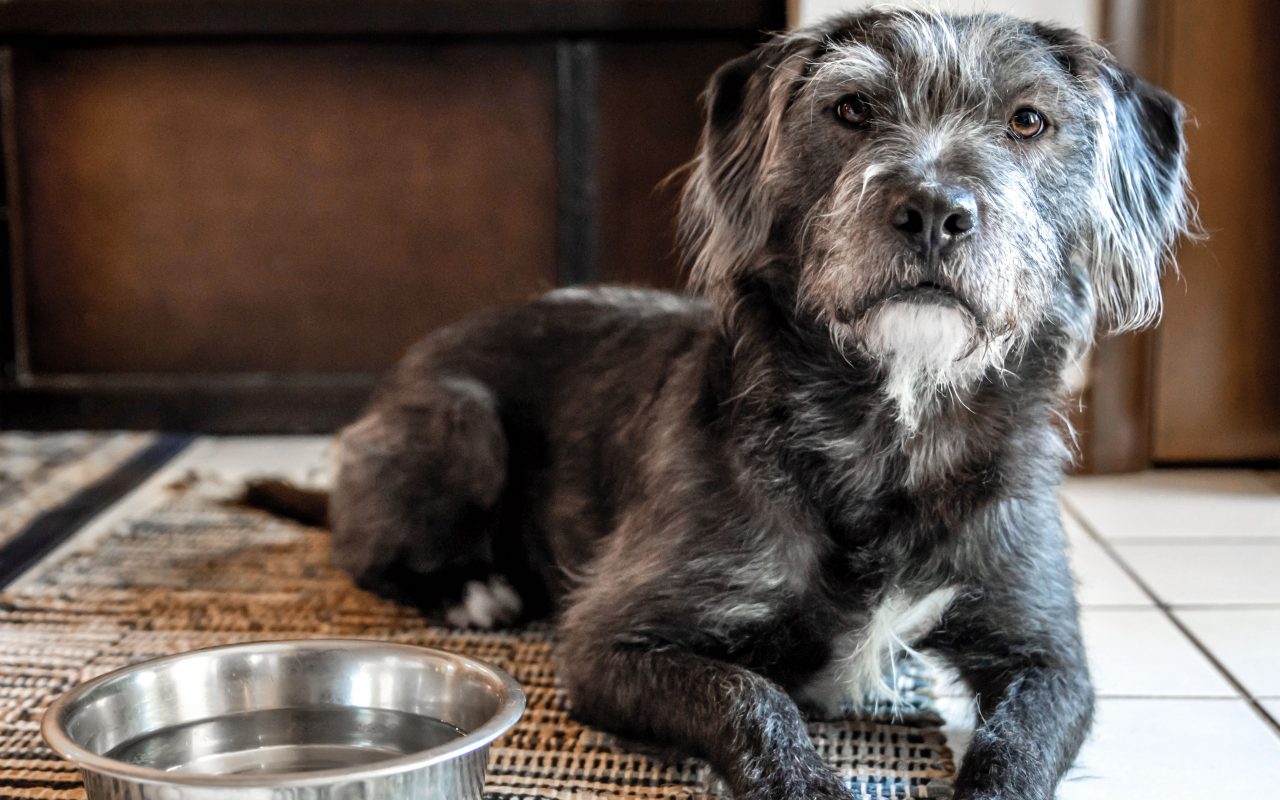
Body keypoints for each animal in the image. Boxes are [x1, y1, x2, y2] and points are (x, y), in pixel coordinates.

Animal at [241, 7, 1187, 798]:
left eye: (1029, 122)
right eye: (852, 109)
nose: (930, 209)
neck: (892, 429)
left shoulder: (1046, 654)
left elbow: (1018, 747)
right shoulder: (608, 644)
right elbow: (749, 697)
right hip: (458, 421)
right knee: (366, 553)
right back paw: (471, 589)